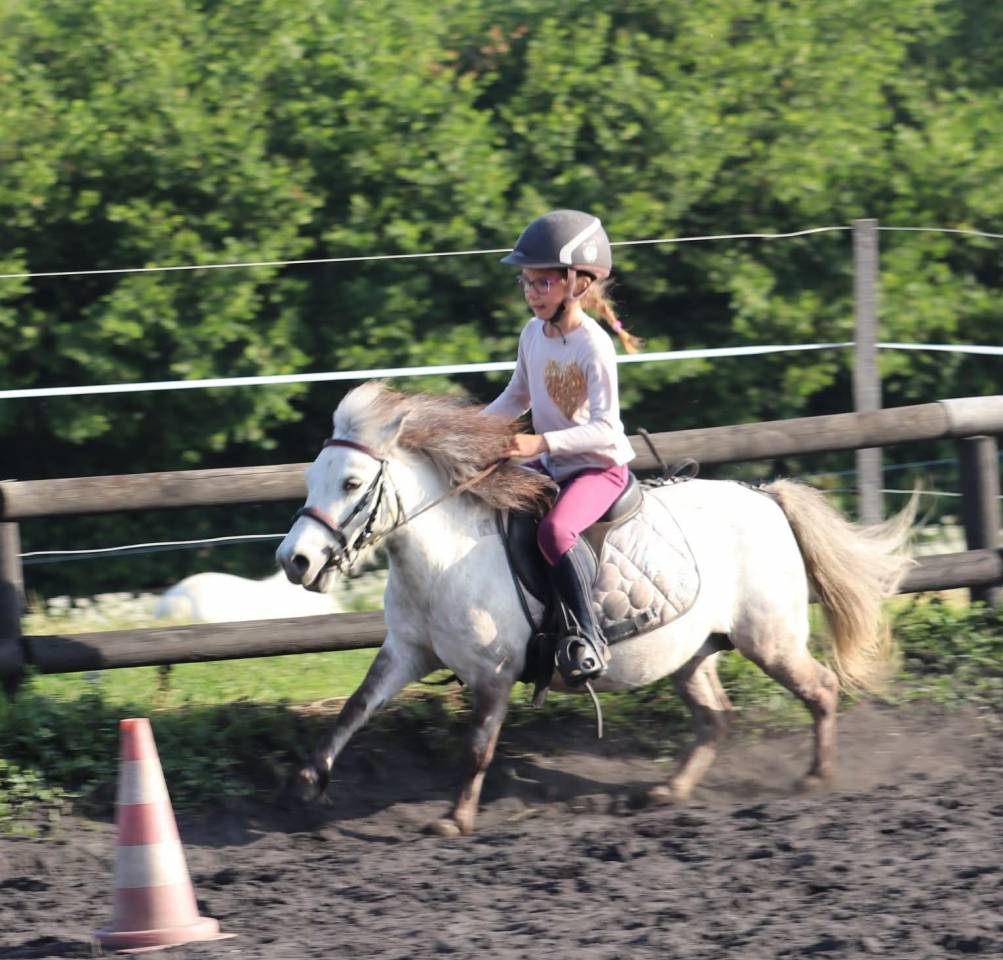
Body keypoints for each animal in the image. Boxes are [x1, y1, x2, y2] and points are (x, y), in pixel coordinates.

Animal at [276, 381, 915, 836]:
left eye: (352, 483)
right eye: (312, 479)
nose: (294, 561)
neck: (445, 553)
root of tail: (766, 497)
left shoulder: (493, 673)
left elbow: (478, 746)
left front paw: (454, 820)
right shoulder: (407, 652)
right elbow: (357, 707)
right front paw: (310, 778)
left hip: (769, 639)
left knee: (821, 689)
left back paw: (815, 778)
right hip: (690, 652)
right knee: (716, 717)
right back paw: (669, 792)